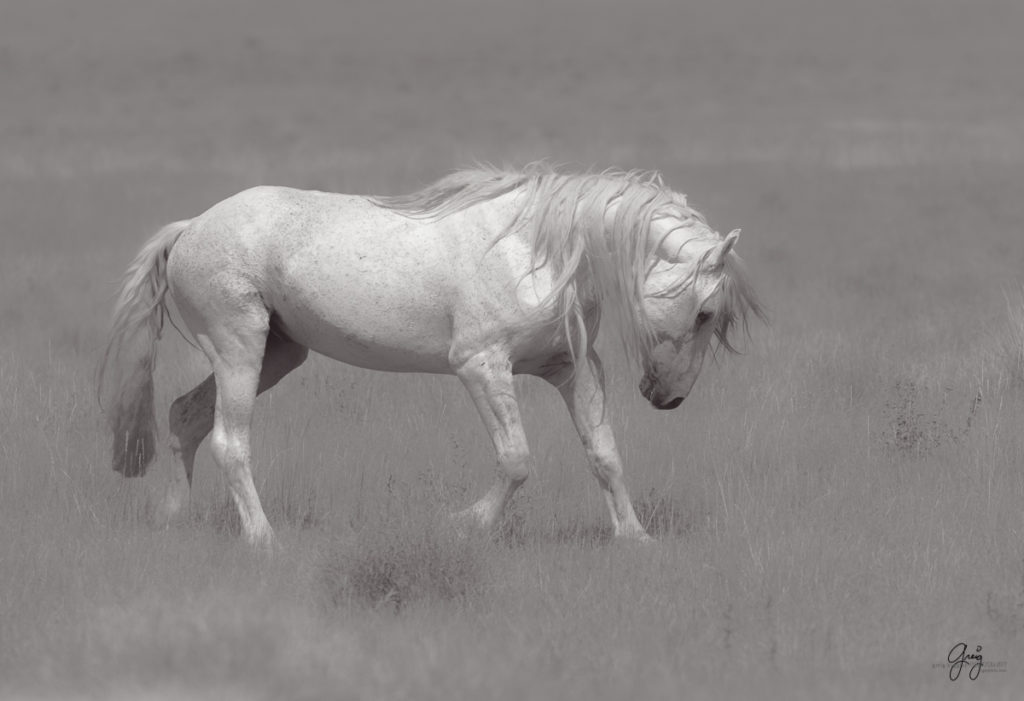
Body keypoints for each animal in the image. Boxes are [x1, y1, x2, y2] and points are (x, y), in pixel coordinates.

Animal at [99, 163, 765, 548]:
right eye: (705, 313)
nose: (668, 398)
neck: (537, 248)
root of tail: (189, 228)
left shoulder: (572, 368)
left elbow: (603, 453)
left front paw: (635, 538)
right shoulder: (481, 366)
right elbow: (516, 460)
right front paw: (465, 525)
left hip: (277, 355)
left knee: (185, 418)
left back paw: (172, 519)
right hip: (240, 348)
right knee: (229, 442)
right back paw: (263, 538)